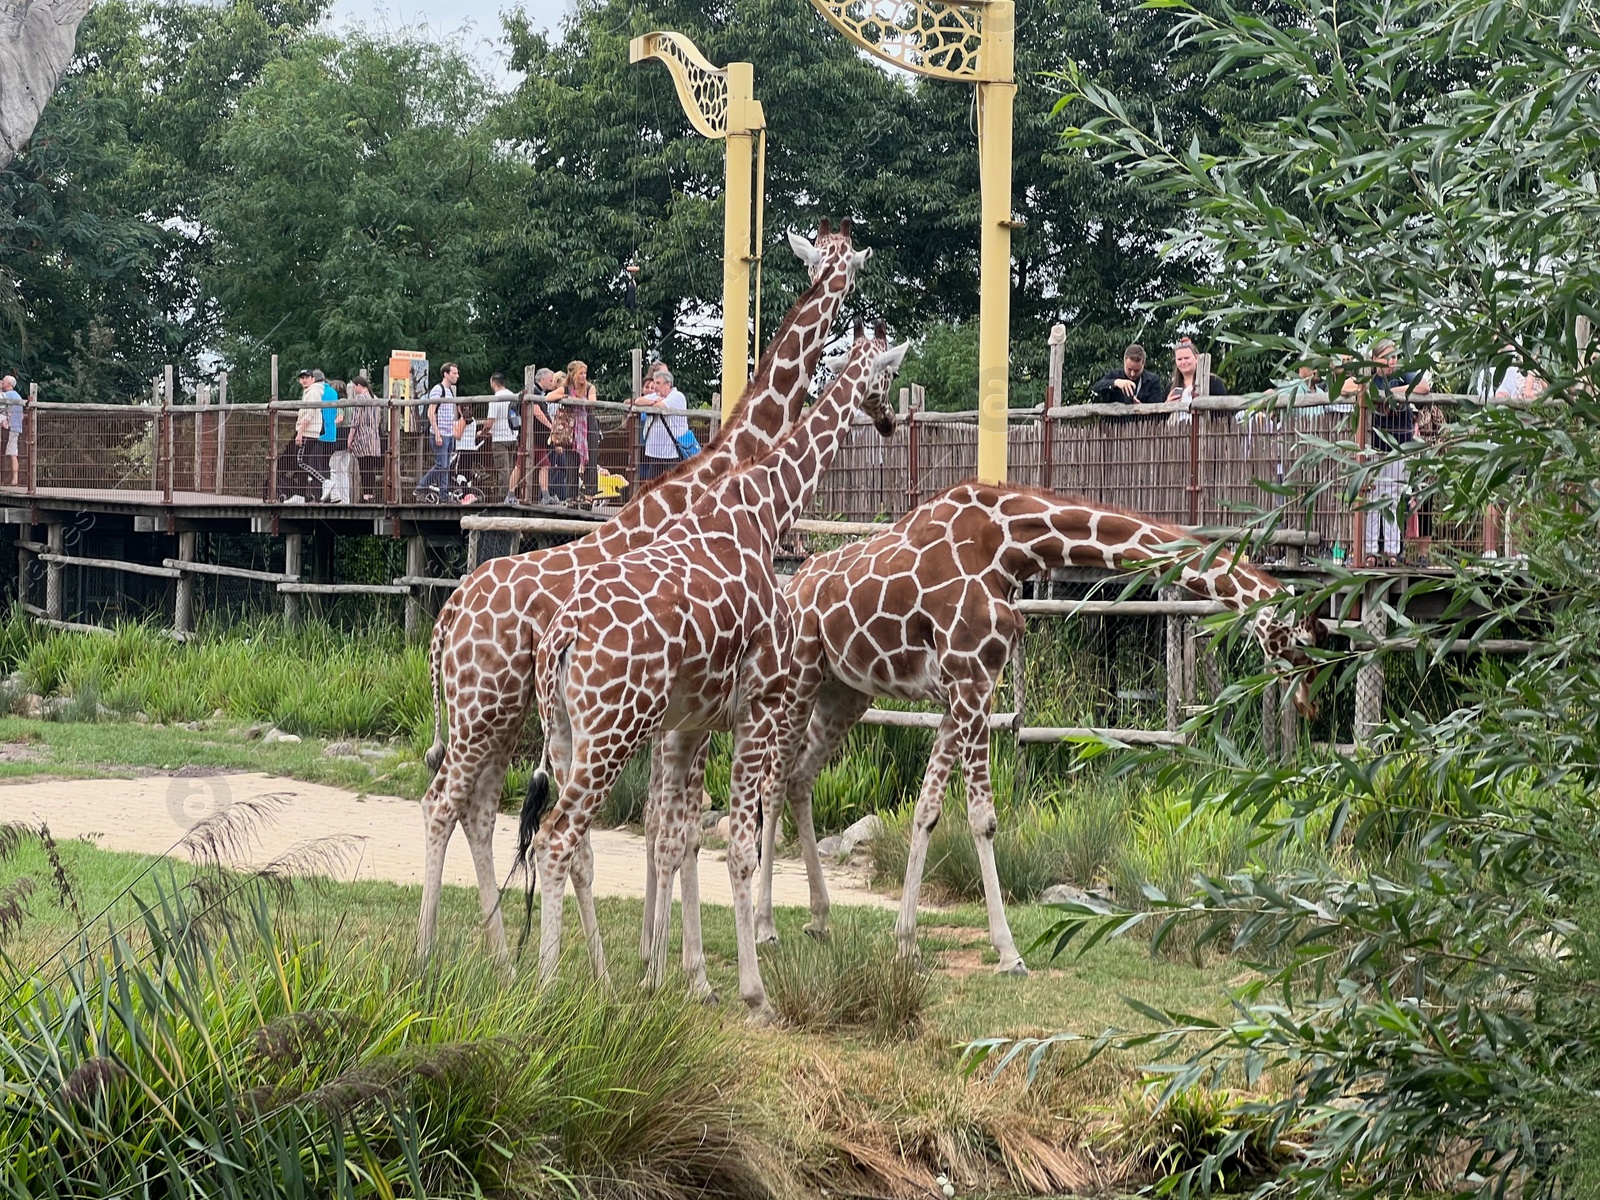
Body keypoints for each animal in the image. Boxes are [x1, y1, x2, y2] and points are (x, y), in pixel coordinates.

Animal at [406, 219, 870, 966]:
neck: (723, 478)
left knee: (483, 810)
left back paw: (504, 955)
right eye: (847, 268)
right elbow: (671, 826)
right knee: (448, 804)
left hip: (506, 712)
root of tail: (446, 617)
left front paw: (653, 958)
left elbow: (658, 826)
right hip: (487, 708)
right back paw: (435, 953)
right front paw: (673, 961)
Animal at [515, 324, 908, 1017]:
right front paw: (753, 992)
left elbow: (676, 837)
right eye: (887, 376)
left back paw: (587, 981)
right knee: (558, 835)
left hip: (563, 730)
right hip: (613, 729)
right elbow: (737, 847)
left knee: (562, 838)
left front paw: (664, 974)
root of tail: (561, 636)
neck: (764, 509)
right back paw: (548, 990)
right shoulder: (760, 705)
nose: (889, 419)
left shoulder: (691, 723)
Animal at [748, 483, 1324, 972]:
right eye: (1301, 638)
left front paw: (906, 943)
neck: (1011, 547)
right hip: (798, 676)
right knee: (773, 782)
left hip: (845, 691)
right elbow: (982, 818)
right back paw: (765, 928)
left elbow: (927, 811)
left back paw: (818, 921)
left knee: (799, 777)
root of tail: (791, 586)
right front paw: (1009, 953)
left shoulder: (965, 690)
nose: (1309, 705)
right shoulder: (971, 680)